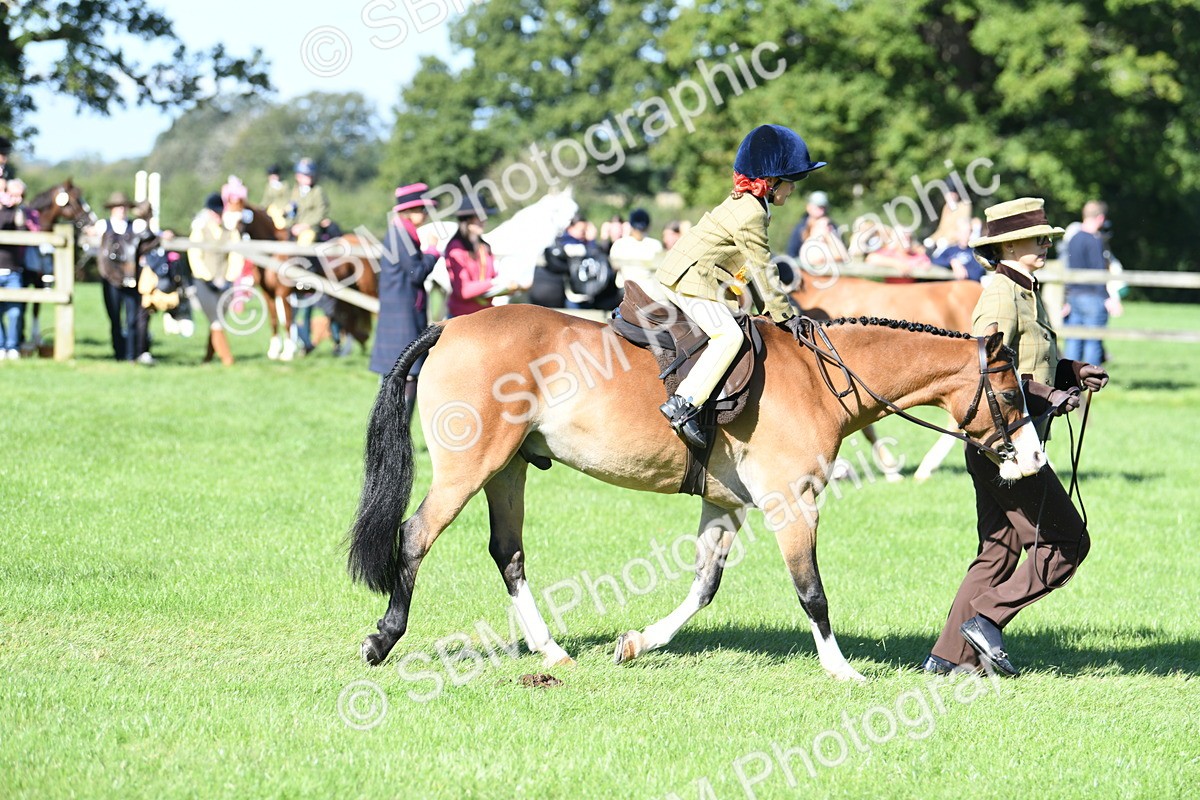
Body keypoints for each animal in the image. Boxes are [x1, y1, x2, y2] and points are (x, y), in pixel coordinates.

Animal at [347, 304, 1044, 681]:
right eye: (1012, 395)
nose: (1035, 460)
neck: (820, 379)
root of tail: (450, 326)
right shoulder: (792, 504)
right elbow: (813, 593)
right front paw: (841, 668)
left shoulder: (725, 505)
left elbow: (703, 588)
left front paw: (636, 644)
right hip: (470, 468)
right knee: (415, 537)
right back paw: (383, 639)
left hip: (509, 469)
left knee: (508, 554)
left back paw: (553, 652)